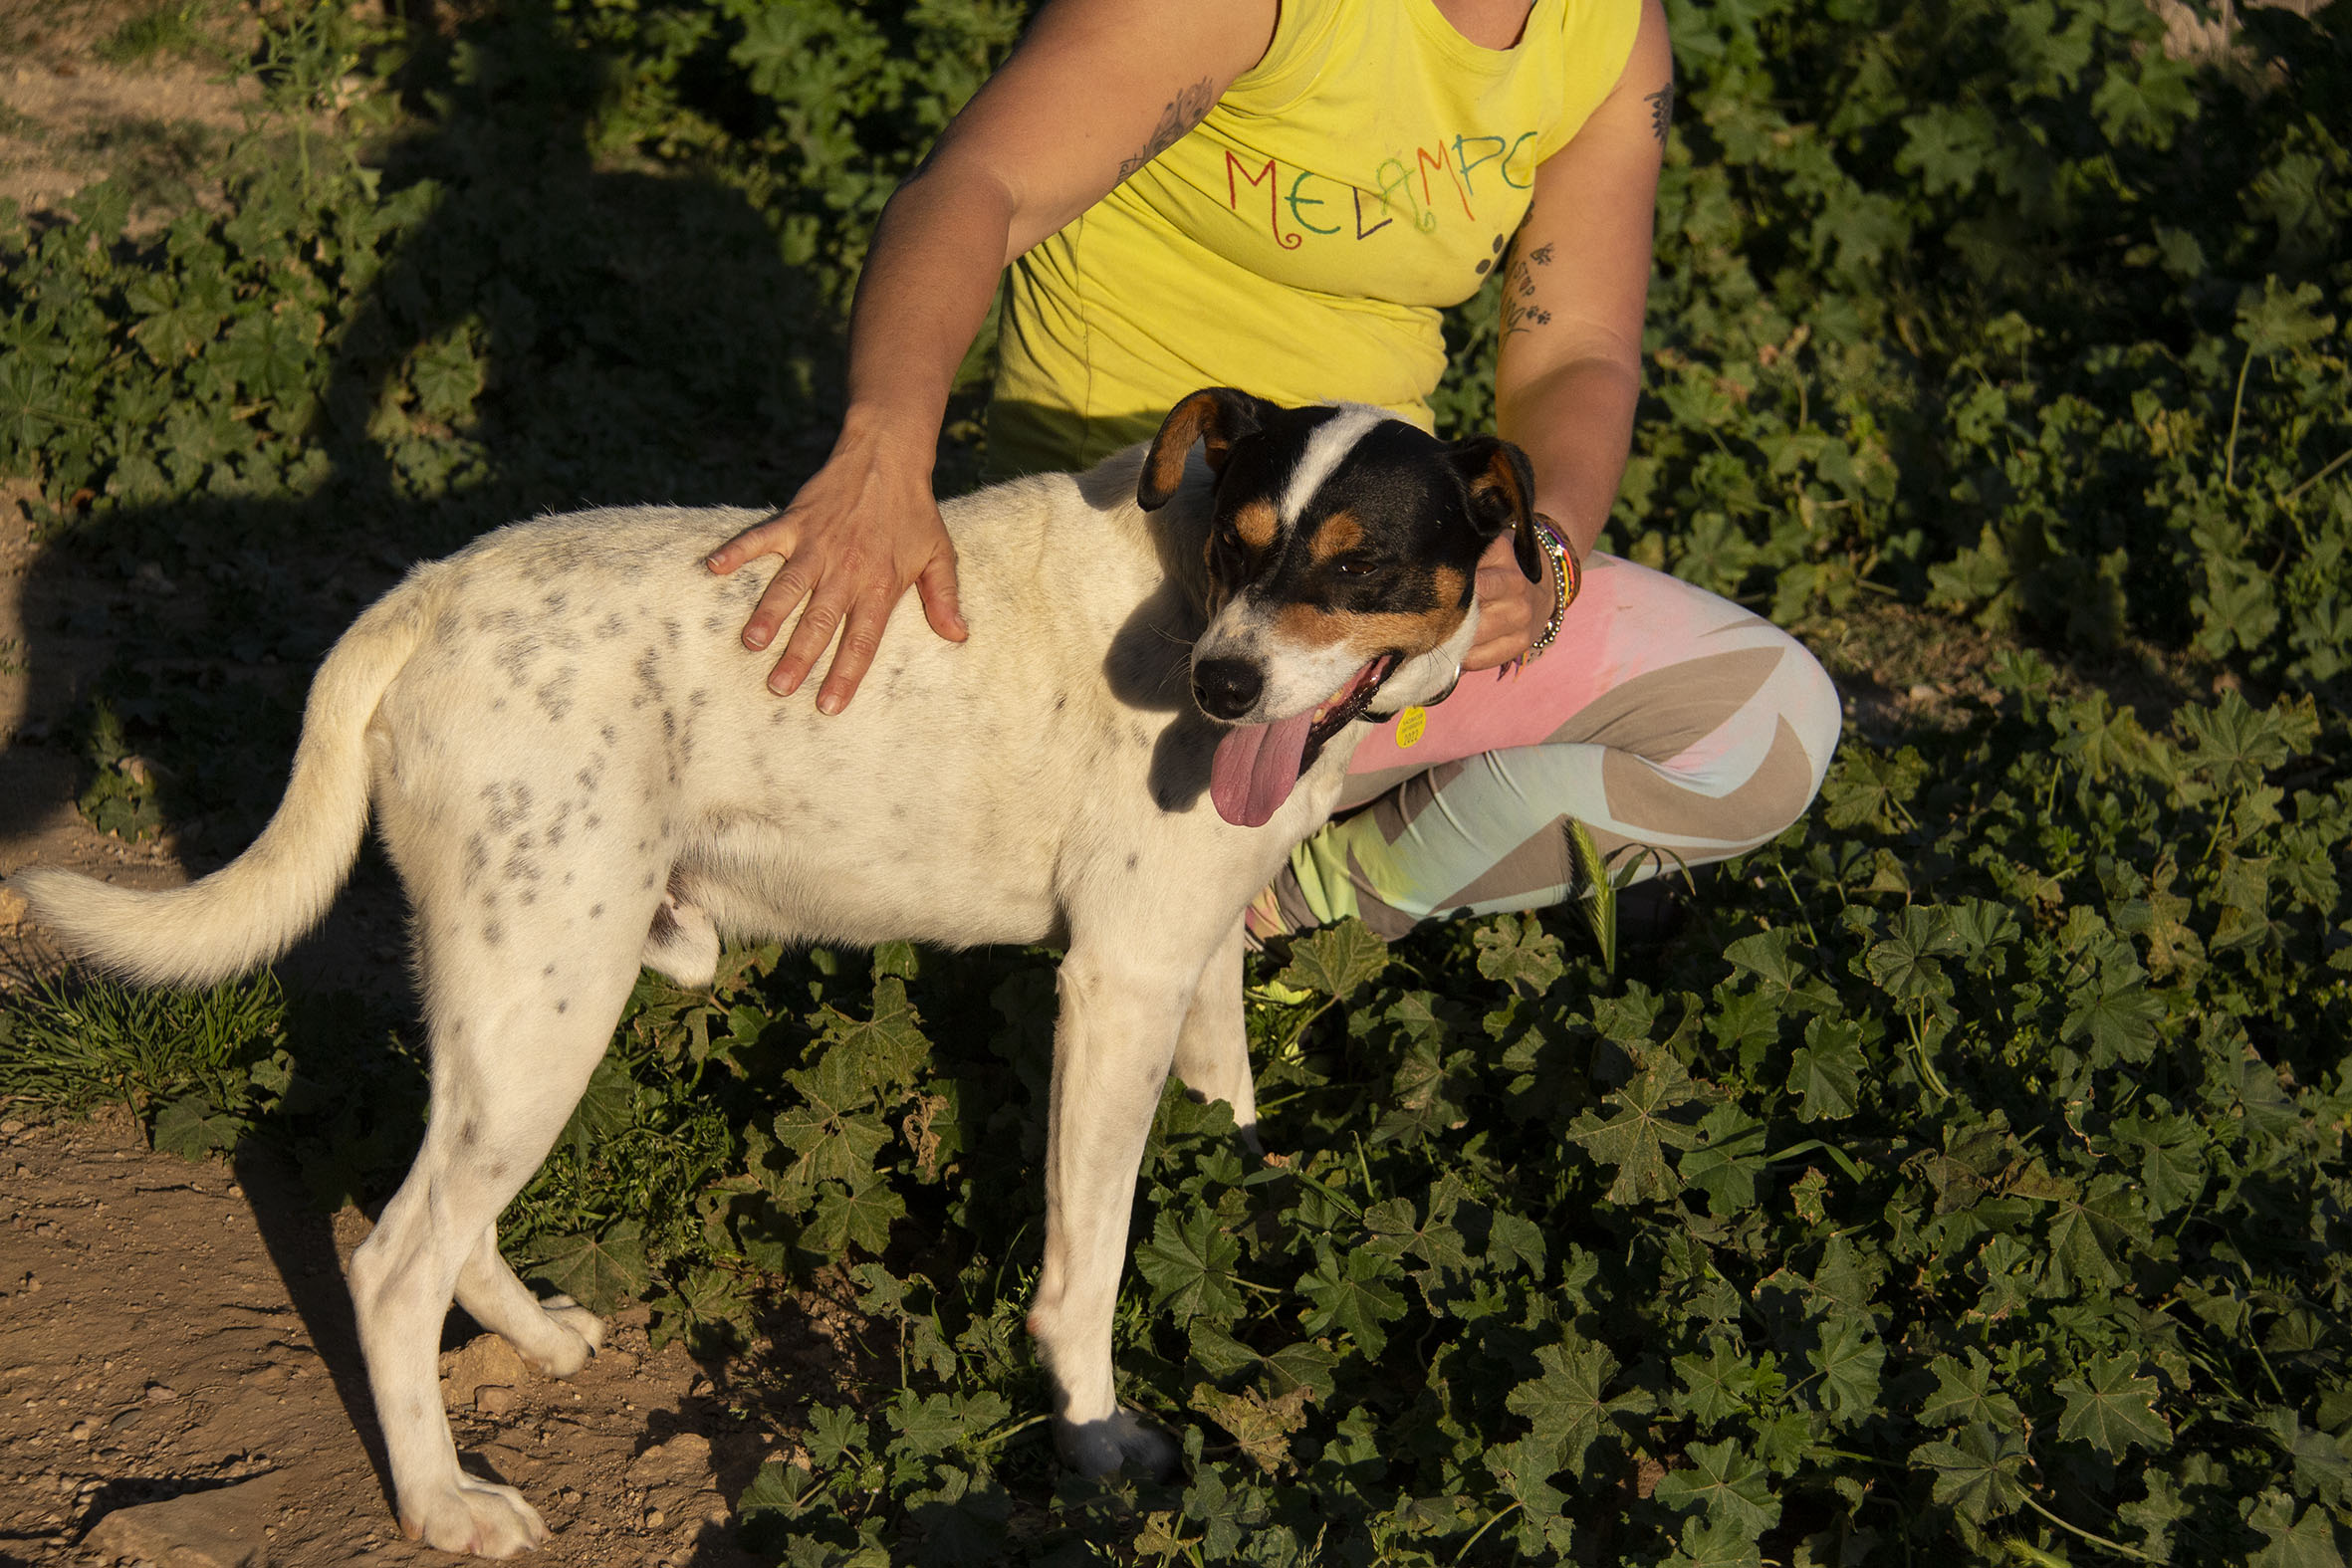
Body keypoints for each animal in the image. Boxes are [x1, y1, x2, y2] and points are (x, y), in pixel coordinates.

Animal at [18, 387, 1540, 1556]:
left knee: (444, 1206)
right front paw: (1094, 1431)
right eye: (1238, 546)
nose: (1222, 689)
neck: (1177, 598)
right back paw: (444, 1504)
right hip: (553, 995)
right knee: (393, 1261)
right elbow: (1090, 1258)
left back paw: (528, 1335)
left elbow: (1227, 1120)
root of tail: (426, 593)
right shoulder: (1118, 981)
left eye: (1355, 566)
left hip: (523, 995)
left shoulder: (1196, 956)